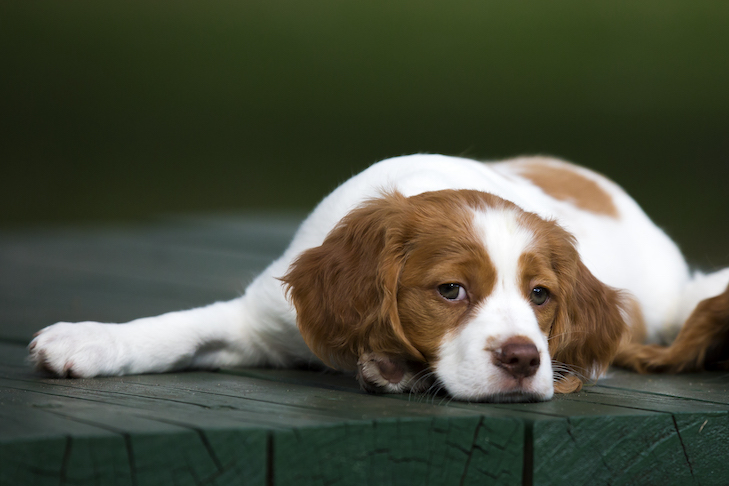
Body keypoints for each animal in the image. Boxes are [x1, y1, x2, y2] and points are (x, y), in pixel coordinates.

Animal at [28, 155, 728, 402]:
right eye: (451, 290)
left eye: (541, 296)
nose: (524, 360)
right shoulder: (261, 319)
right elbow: (177, 327)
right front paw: (87, 340)